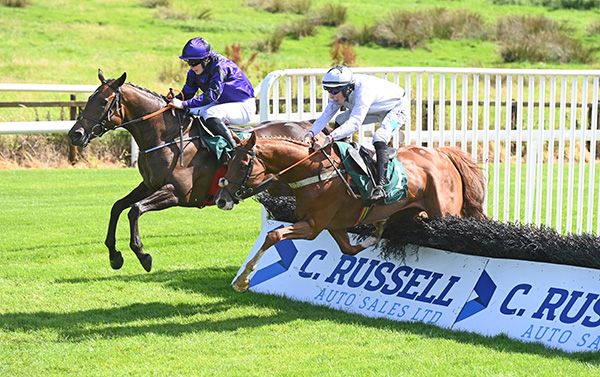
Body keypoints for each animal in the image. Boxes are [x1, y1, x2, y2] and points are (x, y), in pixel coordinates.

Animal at [68, 70, 227, 270]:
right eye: (89, 98)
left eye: (103, 102)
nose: (75, 134)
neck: (168, 139)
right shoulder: (149, 185)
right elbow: (117, 206)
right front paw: (114, 255)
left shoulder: (178, 192)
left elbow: (135, 209)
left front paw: (142, 254)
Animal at [213, 120, 486, 290]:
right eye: (227, 161)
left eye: (242, 164)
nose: (222, 199)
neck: (312, 170)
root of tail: (441, 153)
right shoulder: (334, 225)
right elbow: (350, 249)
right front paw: (376, 233)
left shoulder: (313, 226)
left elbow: (274, 235)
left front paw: (243, 280)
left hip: (445, 212)